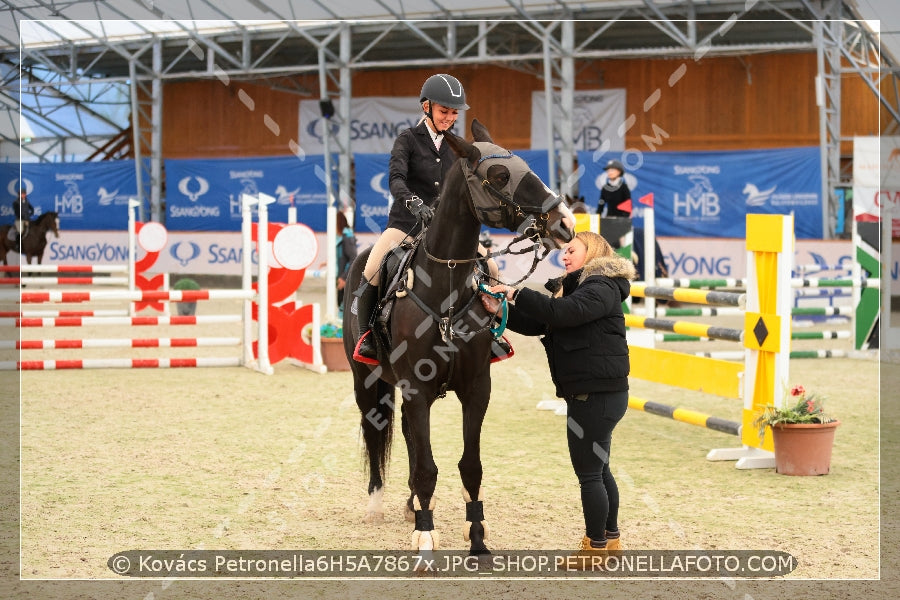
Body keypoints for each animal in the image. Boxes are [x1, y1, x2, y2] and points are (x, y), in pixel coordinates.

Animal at [342, 119, 572, 556]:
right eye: (499, 176)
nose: (564, 223)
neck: (443, 291)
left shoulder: (475, 387)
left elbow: (470, 465)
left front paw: (476, 536)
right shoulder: (416, 388)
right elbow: (427, 465)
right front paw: (426, 536)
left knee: (409, 437)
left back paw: (413, 505)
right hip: (367, 380)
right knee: (374, 428)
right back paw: (377, 504)